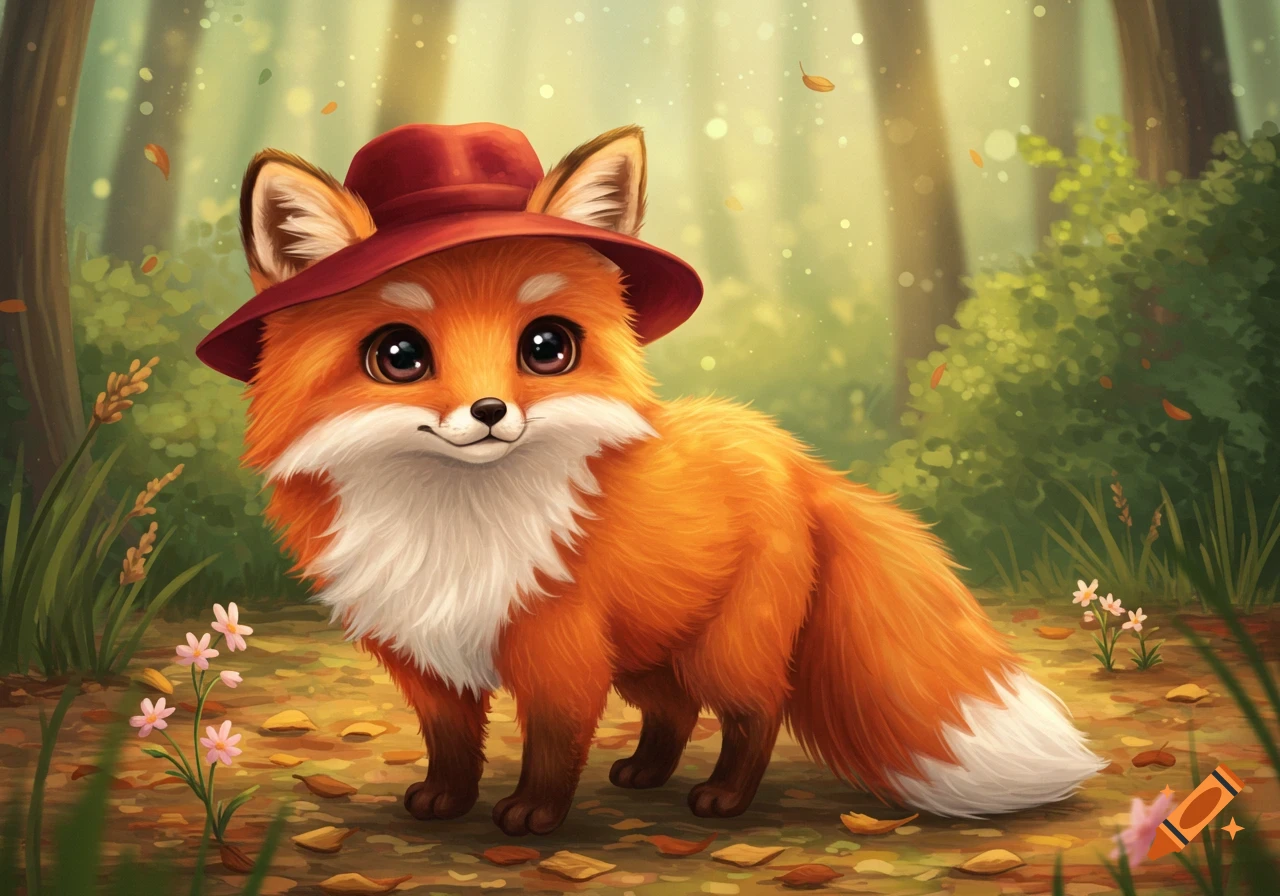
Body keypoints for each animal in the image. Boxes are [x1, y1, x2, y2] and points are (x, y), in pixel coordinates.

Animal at [225, 123, 1105, 836]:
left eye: (546, 346)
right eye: (400, 355)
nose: (490, 412)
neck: (456, 522)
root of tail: (791, 454)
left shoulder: (561, 651)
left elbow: (553, 744)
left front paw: (535, 816)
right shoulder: (425, 654)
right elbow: (450, 744)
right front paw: (446, 802)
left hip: (723, 646)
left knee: (757, 711)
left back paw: (723, 797)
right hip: (651, 653)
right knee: (677, 709)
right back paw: (646, 773)